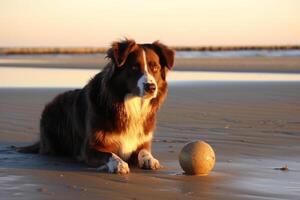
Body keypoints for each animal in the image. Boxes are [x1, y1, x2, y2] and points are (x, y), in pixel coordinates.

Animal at [16, 38, 175, 173]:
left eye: (155, 68)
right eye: (135, 67)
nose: (151, 87)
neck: (130, 105)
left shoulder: (142, 141)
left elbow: (144, 151)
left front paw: (150, 159)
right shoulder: (89, 148)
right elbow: (108, 154)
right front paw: (119, 163)